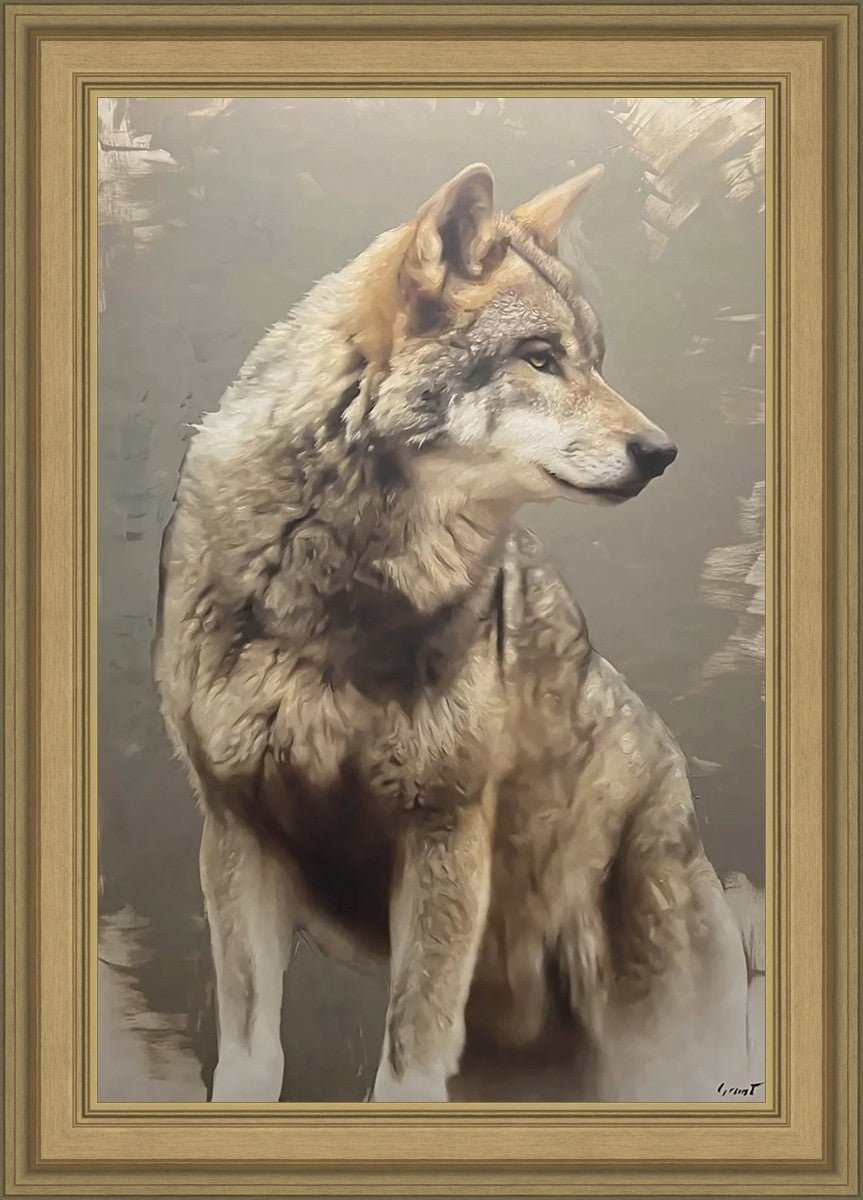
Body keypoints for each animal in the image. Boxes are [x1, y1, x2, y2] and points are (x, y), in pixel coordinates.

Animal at [154, 162, 757, 1103]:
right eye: (540, 358)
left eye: (593, 360)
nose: (661, 453)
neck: (334, 591)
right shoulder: (237, 833)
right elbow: (254, 1060)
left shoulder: (443, 835)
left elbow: (405, 1067)